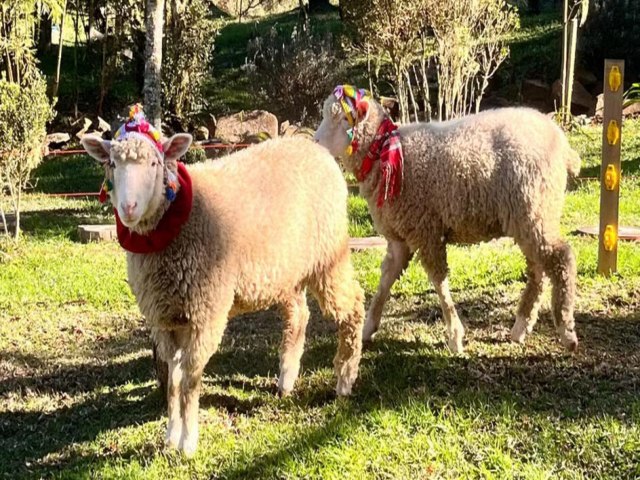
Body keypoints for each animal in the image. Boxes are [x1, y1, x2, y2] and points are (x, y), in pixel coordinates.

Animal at [81, 110, 364, 456]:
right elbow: (173, 380)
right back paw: (286, 378)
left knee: (354, 304)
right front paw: (171, 435)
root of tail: (315, 149)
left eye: (155, 164)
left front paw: (189, 442)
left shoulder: (205, 311)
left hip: (329, 253)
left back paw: (345, 378)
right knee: (299, 315)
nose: (129, 208)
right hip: (285, 268)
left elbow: (190, 379)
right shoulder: (165, 317)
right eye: (112, 163)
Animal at [314, 86, 580, 354]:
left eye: (341, 118)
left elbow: (439, 281)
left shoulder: (425, 230)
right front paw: (367, 329)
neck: (382, 153)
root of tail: (561, 141)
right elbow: (385, 281)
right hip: (528, 216)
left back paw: (566, 330)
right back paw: (521, 327)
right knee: (538, 269)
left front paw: (454, 335)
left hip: (535, 208)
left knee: (561, 258)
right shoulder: (400, 238)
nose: (315, 143)